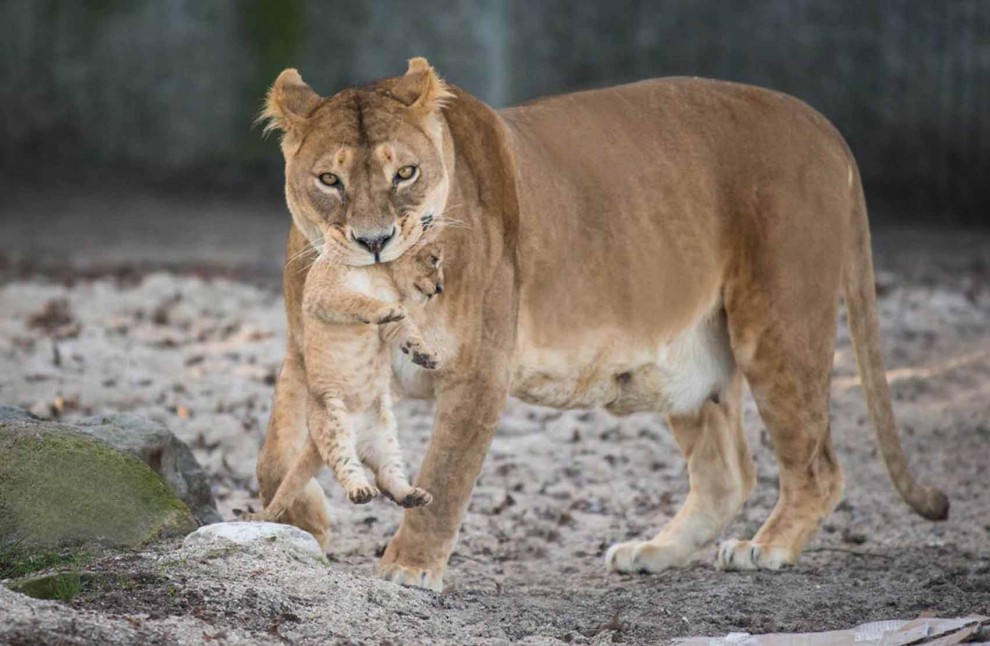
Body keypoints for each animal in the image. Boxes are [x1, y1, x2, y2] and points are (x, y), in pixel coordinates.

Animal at [255, 58, 949, 591]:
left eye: (405, 172)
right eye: (329, 179)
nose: (374, 242)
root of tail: (820, 122)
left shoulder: (480, 370)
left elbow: (444, 476)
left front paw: (407, 570)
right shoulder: (307, 355)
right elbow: (271, 456)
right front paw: (301, 524)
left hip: (777, 325)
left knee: (818, 465)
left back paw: (767, 546)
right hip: (688, 361)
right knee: (728, 474)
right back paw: (652, 552)